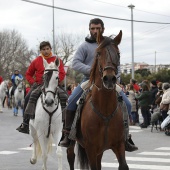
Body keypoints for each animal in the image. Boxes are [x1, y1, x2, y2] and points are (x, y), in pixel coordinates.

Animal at [73, 30, 129, 170]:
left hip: (100, 151)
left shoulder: (119, 144)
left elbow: (123, 165)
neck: (105, 110)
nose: (109, 79)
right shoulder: (91, 148)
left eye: (118, 54)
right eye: (98, 53)